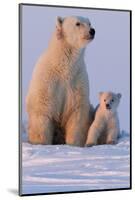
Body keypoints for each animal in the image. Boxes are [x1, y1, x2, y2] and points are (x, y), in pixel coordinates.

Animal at [26, 16, 95, 147]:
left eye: (89, 23)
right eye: (78, 23)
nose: (92, 31)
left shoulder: (77, 79)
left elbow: (76, 112)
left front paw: (74, 144)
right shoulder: (47, 81)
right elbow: (42, 110)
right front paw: (40, 143)